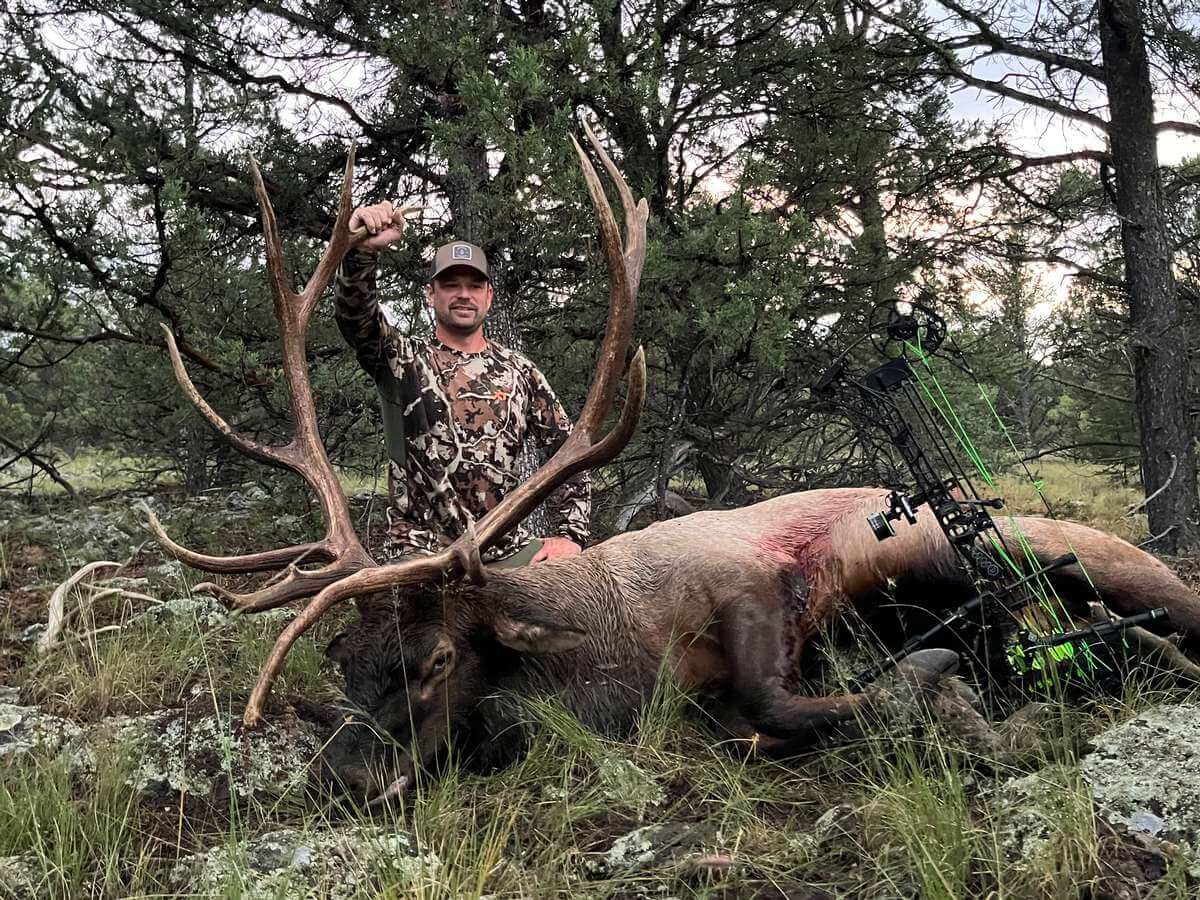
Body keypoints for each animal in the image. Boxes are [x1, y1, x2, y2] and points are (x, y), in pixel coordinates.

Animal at [146, 126, 1200, 804]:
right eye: (342, 658)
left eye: (437, 656)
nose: (342, 780)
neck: (610, 659)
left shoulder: (750, 585)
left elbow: (772, 701)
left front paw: (942, 684)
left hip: (1079, 556)